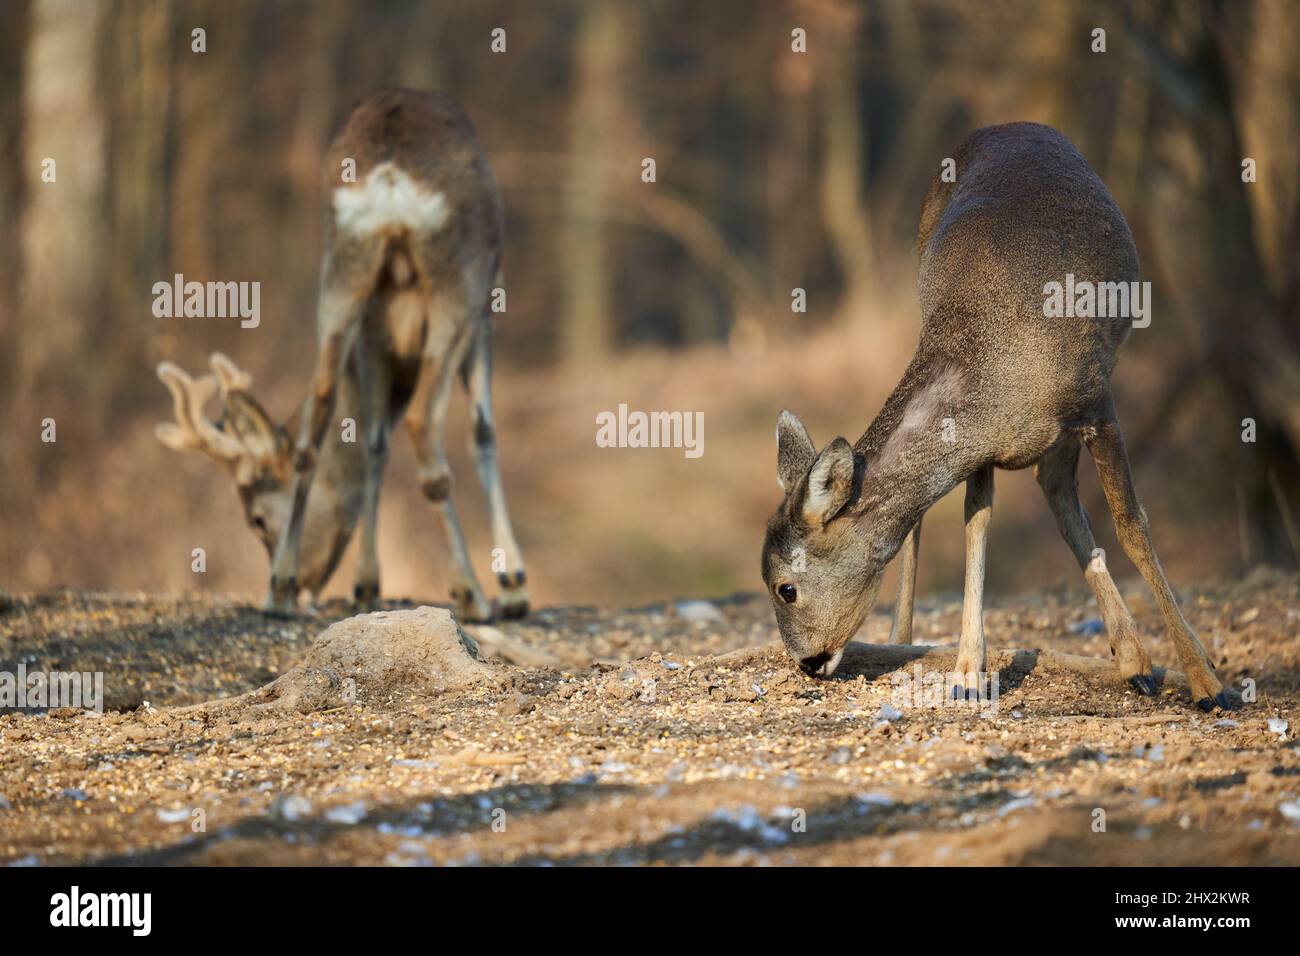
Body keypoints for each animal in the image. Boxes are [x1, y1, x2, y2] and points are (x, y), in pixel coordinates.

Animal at [155, 88, 528, 622]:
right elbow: (483, 432)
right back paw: (472, 594)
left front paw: (366, 584)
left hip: (341, 275)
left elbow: (372, 440)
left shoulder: (374, 334)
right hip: (459, 281)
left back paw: (278, 590)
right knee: (422, 420)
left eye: (256, 519)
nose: (308, 583)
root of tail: (388, 176)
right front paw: (514, 583)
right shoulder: (485, 309)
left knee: (321, 408)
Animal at [762, 122, 1241, 712]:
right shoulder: (983, 448)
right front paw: (968, 673)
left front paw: (1207, 680)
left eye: (786, 587)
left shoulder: (1096, 401)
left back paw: (1147, 661)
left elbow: (1133, 525)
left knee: (1064, 497)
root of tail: (1010, 125)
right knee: (1051, 494)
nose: (807, 663)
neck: (996, 369)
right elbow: (976, 526)